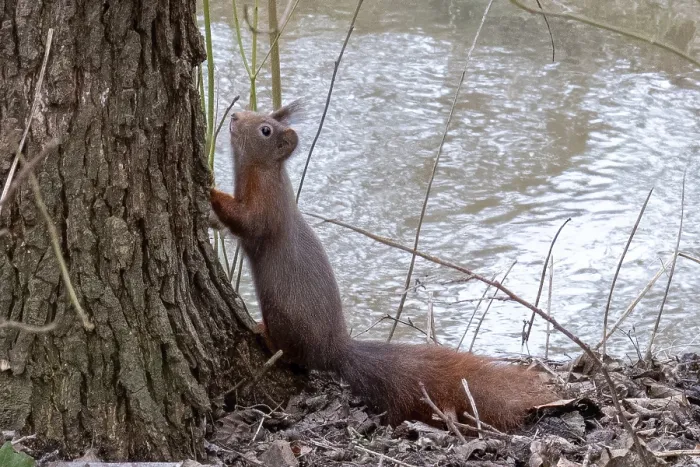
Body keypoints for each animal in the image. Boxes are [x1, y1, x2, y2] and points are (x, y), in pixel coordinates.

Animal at [210, 102, 558, 432]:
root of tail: (334, 349)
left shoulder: (266, 207)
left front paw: (211, 191)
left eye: (265, 129)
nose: (235, 117)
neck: (262, 171)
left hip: (287, 320)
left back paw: (263, 332)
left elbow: (248, 221)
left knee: (293, 355)